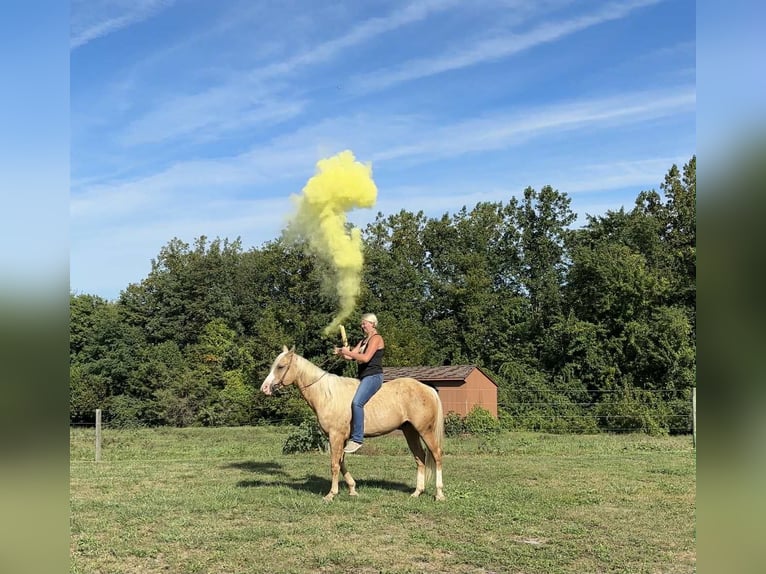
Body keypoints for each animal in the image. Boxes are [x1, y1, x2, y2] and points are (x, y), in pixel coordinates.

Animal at [260, 346, 445, 502]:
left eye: (281, 366)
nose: (265, 388)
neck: (327, 394)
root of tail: (428, 389)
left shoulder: (335, 436)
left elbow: (334, 464)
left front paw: (331, 494)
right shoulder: (340, 438)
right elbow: (341, 462)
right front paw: (352, 489)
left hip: (425, 431)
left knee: (436, 455)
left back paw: (439, 494)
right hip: (410, 431)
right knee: (420, 457)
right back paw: (417, 492)